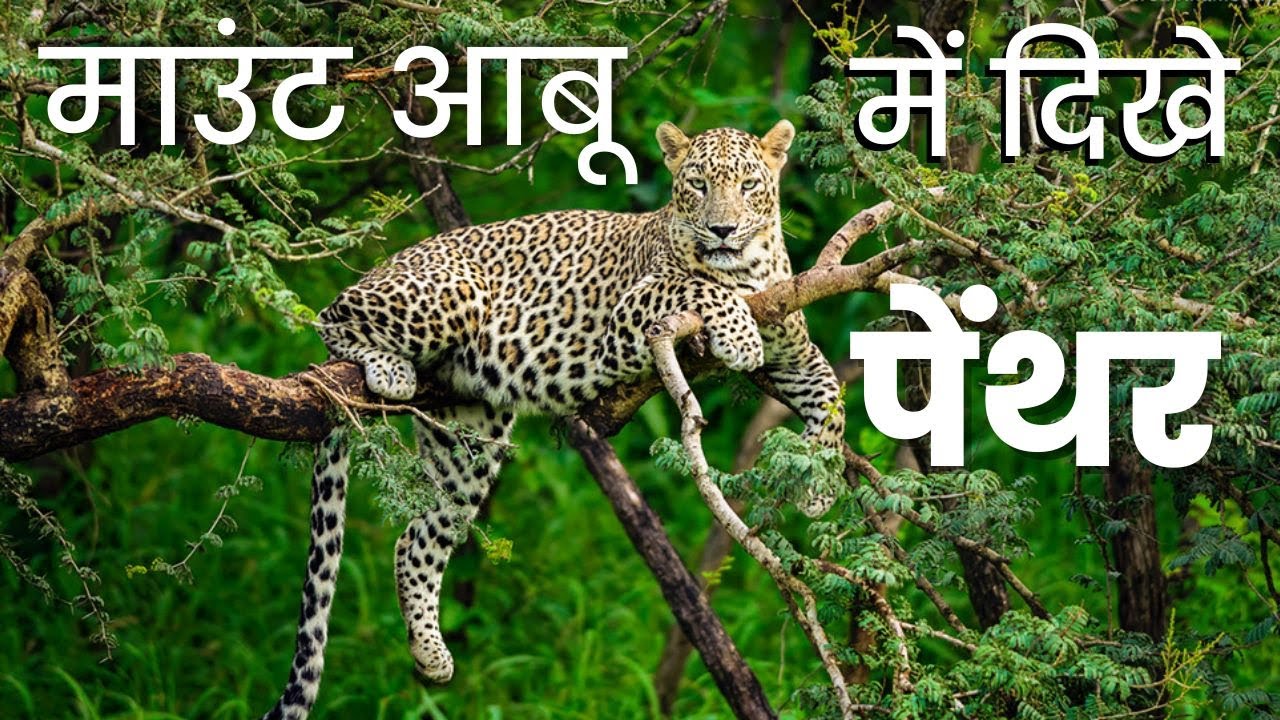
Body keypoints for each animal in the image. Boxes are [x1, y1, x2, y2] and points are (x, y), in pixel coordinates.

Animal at [260, 120, 846, 719]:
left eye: (749, 185)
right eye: (699, 185)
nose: (722, 229)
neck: (750, 268)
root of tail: (393, 259)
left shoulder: (795, 353)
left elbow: (831, 392)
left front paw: (820, 485)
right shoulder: (632, 312)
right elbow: (701, 285)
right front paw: (740, 336)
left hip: (468, 436)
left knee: (417, 537)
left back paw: (431, 654)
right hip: (452, 293)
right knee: (330, 314)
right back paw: (385, 367)